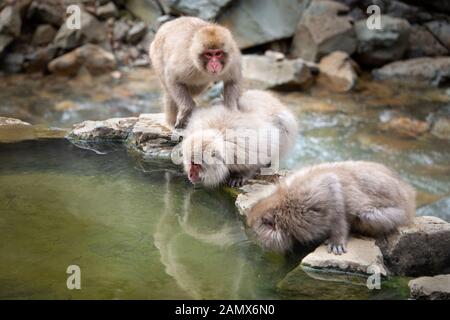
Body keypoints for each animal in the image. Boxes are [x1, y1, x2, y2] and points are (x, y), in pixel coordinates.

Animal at [246, 162, 414, 255]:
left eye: (255, 233)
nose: (256, 243)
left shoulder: (310, 199)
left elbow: (333, 188)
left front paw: (337, 240)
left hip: (397, 214)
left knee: (365, 216)